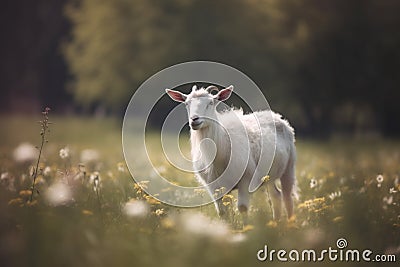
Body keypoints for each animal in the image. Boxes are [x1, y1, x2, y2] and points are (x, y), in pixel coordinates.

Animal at [164, 85, 296, 220]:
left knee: (287, 197)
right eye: (186, 103)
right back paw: (276, 222)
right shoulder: (214, 186)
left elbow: (242, 208)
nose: (194, 120)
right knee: (277, 196)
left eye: (211, 103)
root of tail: (277, 116)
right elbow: (222, 212)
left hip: (289, 168)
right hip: (268, 177)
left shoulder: (246, 180)